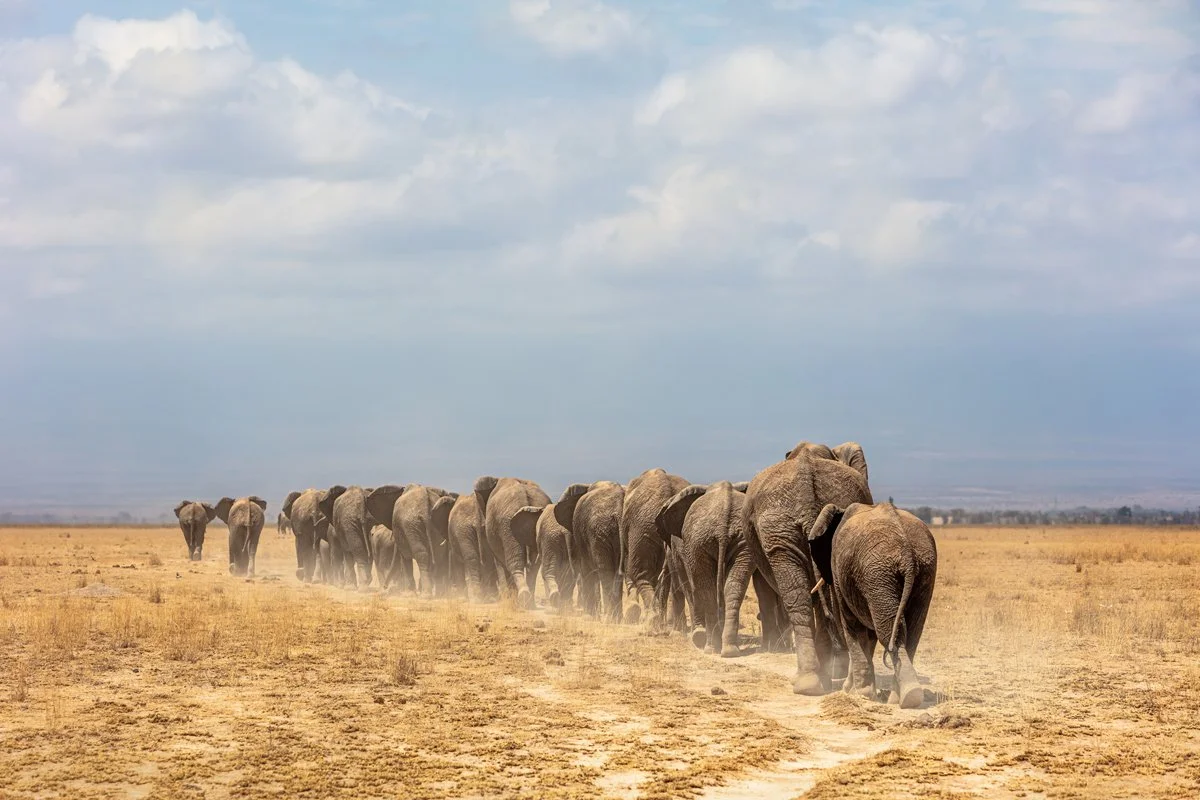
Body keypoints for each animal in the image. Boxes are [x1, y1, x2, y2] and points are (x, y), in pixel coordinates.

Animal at [474, 476, 549, 609]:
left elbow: (500, 563)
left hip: (506, 524)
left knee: (514, 563)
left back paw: (521, 599)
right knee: (533, 565)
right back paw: (529, 603)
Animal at [554, 481, 625, 622]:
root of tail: (619, 511)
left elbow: (586, 569)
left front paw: (590, 616)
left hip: (598, 531)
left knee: (604, 570)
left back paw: (609, 618)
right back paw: (616, 619)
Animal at [621, 469, 691, 626]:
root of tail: (668, 495)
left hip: (642, 526)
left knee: (639, 571)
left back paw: (651, 619)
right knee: (674, 575)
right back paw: (670, 622)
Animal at [655, 481, 754, 656]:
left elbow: (688, 583)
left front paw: (696, 634)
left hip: (699, 541)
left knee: (704, 588)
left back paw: (708, 645)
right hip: (740, 541)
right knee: (733, 586)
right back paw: (729, 650)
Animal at [807, 501, 936, 709]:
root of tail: (907, 551)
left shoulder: (840, 572)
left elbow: (851, 626)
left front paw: (858, 693)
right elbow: (868, 635)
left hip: (877, 574)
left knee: (889, 632)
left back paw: (903, 697)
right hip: (922, 571)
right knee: (911, 632)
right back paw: (906, 696)